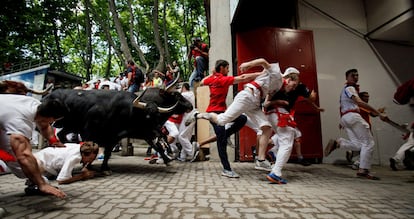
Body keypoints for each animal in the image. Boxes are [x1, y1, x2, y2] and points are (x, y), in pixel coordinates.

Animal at [42, 87, 192, 171]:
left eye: (157, 115)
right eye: (148, 116)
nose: (191, 105)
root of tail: (49, 95)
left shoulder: (118, 136)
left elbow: (108, 152)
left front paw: (104, 167)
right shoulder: (88, 131)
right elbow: (90, 148)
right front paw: (89, 166)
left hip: (69, 125)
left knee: (61, 135)